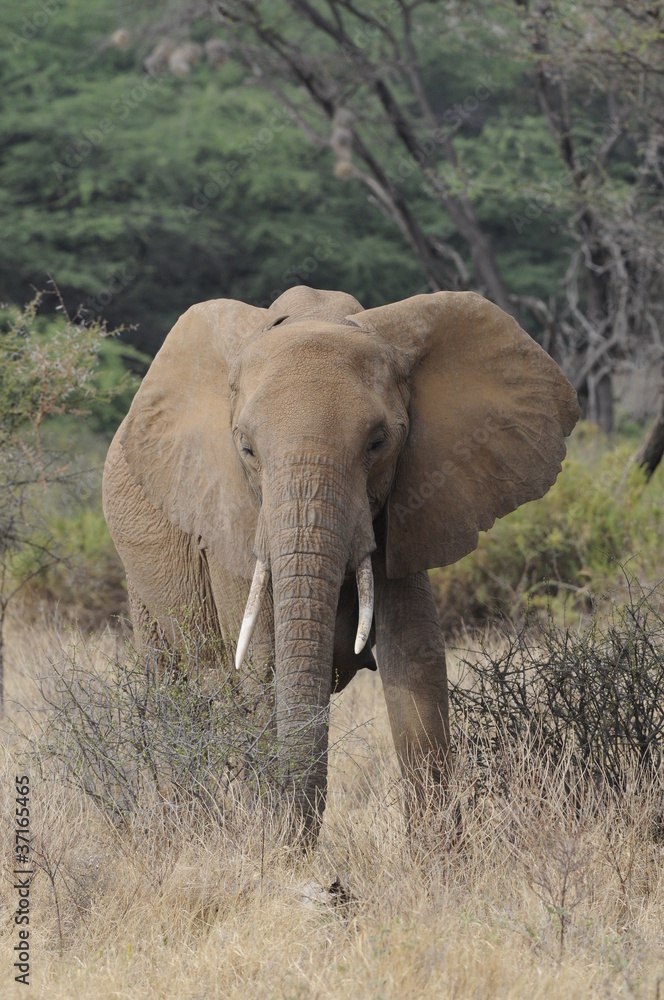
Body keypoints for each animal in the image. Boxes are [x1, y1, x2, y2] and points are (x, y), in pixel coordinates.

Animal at [101, 286, 580, 840]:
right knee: (170, 684)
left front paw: (440, 855)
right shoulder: (229, 515)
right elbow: (263, 667)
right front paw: (271, 845)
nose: (289, 841)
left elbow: (416, 659)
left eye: (378, 443)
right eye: (246, 449)